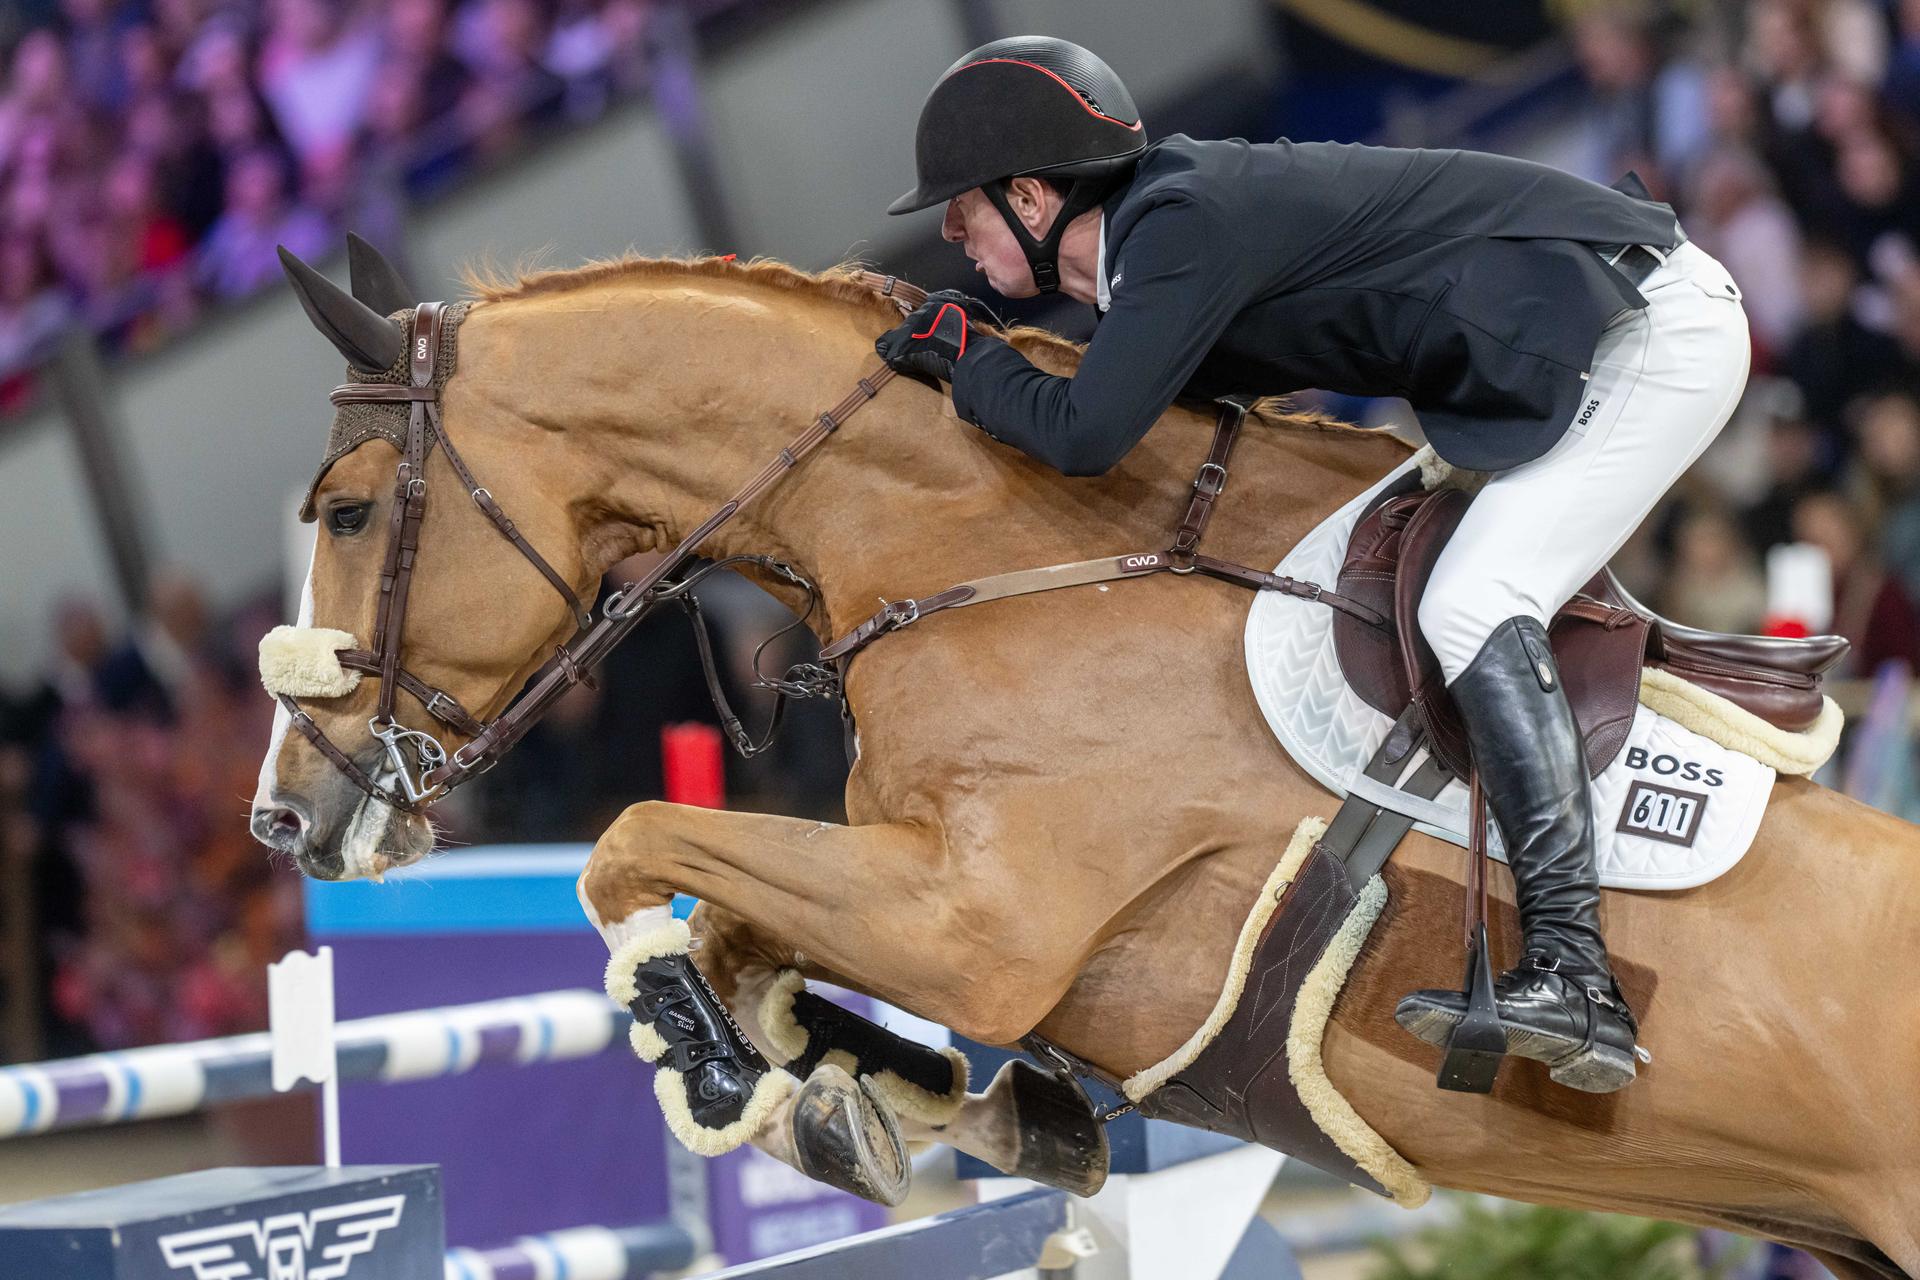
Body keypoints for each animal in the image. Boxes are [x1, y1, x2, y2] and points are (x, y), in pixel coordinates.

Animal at [250, 245, 1920, 1279]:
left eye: (345, 510)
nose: (287, 819)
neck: (999, 553)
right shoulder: (910, 895)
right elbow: (734, 925)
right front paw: (849, 1085)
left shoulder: (975, 929)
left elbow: (636, 839)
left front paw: (722, 1060)